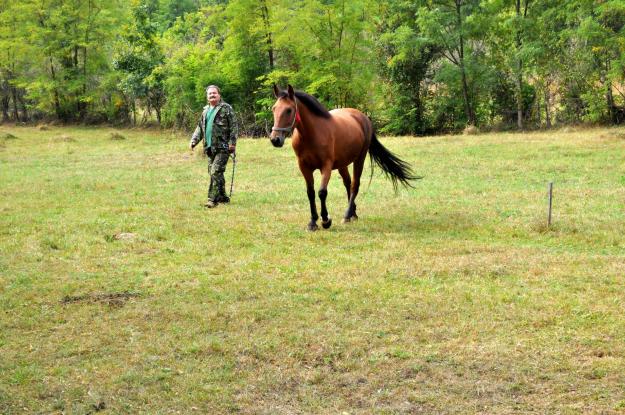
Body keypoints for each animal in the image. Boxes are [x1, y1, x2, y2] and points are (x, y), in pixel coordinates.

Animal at [270, 85, 420, 232]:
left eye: (289, 110)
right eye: (274, 108)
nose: (275, 139)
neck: (312, 134)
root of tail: (363, 117)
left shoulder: (326, 166)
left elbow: (322, 192)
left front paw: (326, 220)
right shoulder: (304, 167)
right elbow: (310, 193)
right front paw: (312, 222)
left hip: (360, 158)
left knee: (354, 185)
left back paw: (347, 215)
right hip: (342, 164)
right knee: (348, 183)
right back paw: (353, 213)